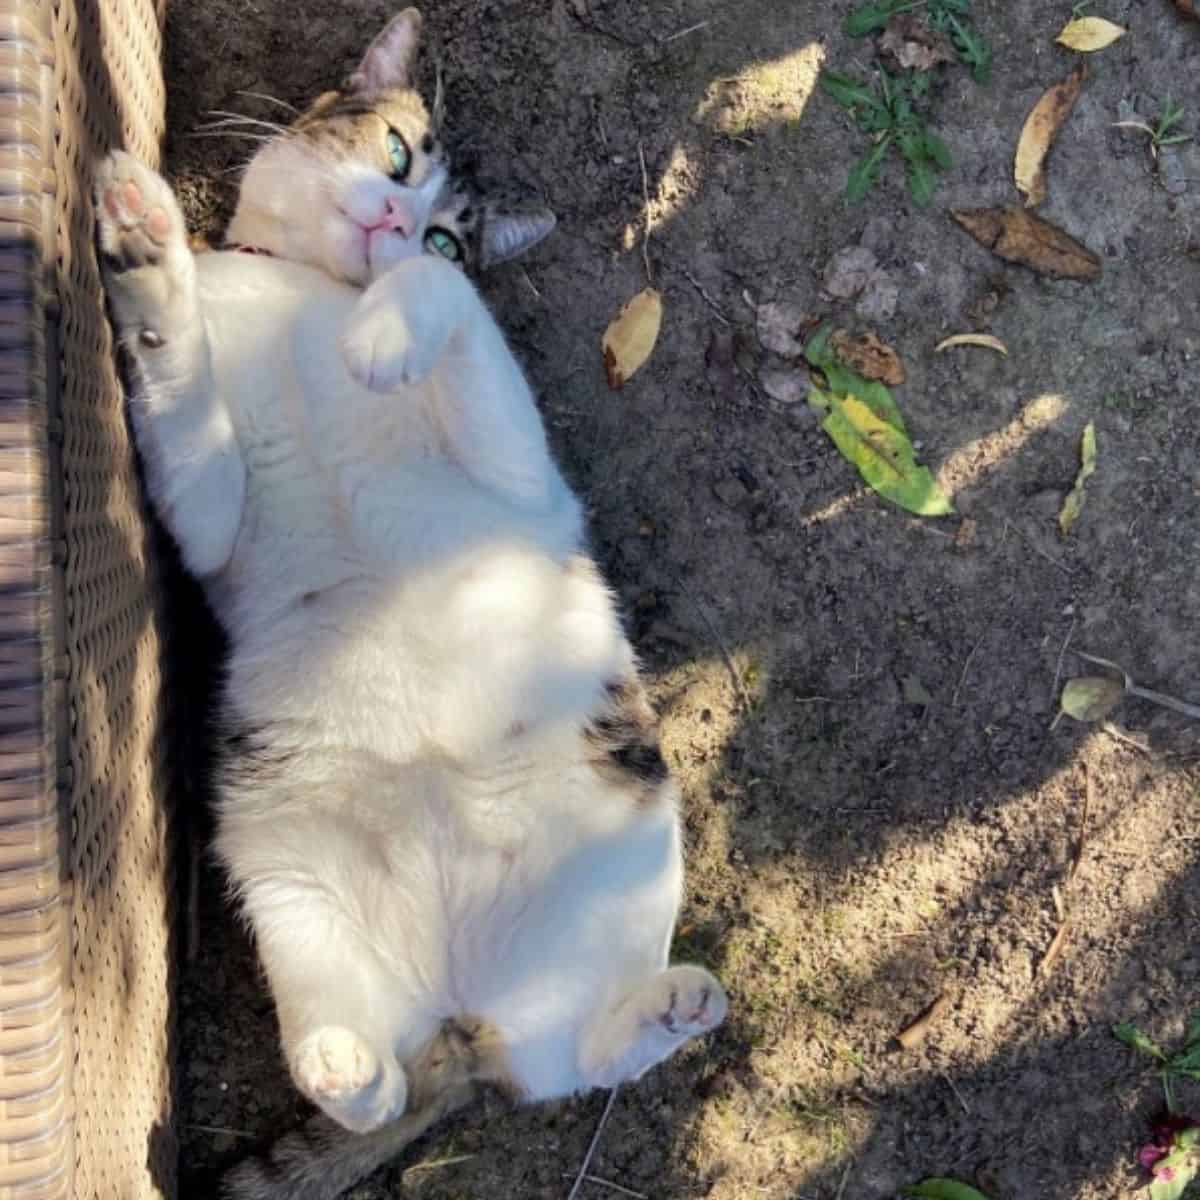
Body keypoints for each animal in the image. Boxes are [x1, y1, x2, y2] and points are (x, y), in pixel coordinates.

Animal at [96, 9, 720, 1200]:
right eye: (395, 155)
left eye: (442, 240)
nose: (393, 222)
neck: (299, 298)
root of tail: (455, 1003)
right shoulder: (207, 514)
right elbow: (181, 389)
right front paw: (149, 261)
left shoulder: (520, 476)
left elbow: (451, 313)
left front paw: (385, 331)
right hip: (286, 878)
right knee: (382, 1084)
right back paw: (346, 1064)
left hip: (626, 851)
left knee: (561, 1064)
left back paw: (671, 1005)